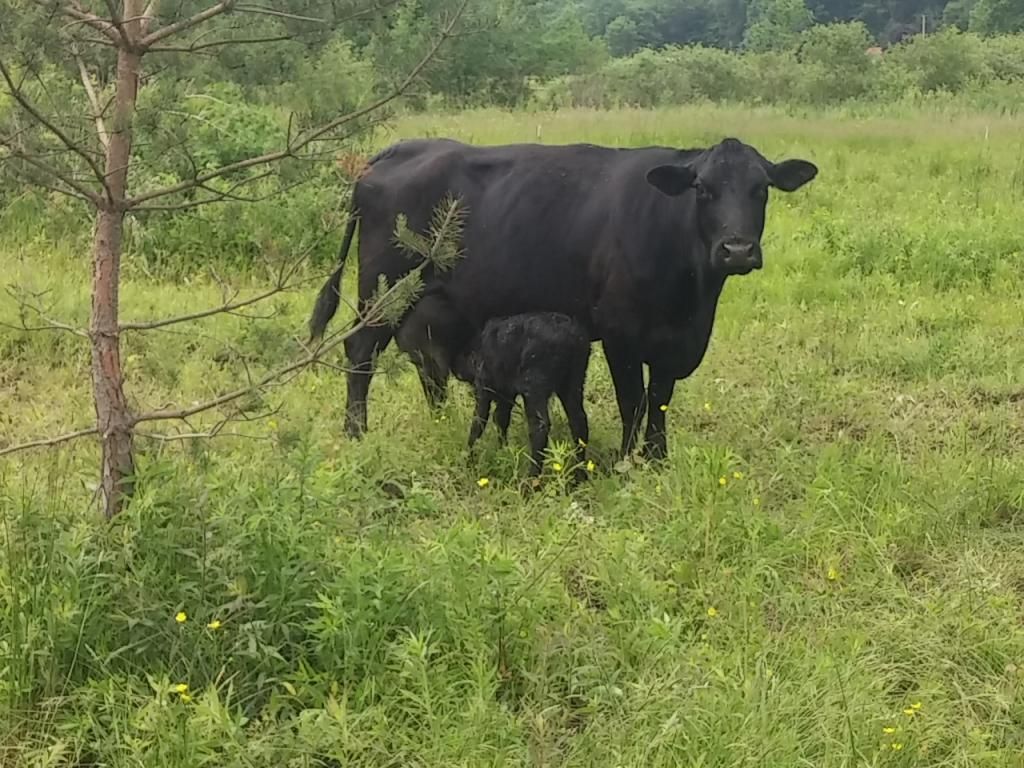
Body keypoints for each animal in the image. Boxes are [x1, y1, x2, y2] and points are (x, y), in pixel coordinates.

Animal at [308, 136, 818, 461]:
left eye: (760, 189)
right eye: (703, 189)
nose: (737, 249)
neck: (692, 300)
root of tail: (395, 151)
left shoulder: (674, 343)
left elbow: (660, 399)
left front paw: (658, 458)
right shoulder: (619, 333)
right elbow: (633, 400)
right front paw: (627, 460)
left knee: (424, 363)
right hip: (382, 289)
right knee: (360, 352)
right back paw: (356, 433)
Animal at [452, 312, 591, 480]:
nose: (457, 372)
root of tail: (571, 338)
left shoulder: (484, 388)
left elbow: (478, 423)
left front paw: (468, 461)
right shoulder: (506, 394)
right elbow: (501, 419)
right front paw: (503, 452)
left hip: (535, 384)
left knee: (540, 426)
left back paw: (531, 479)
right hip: (574, 380)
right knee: (579, 420)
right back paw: (580, 475)